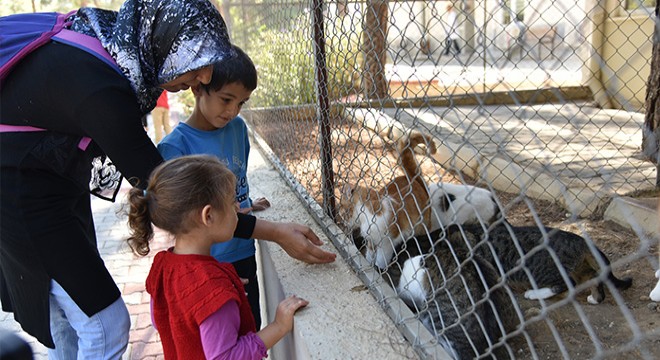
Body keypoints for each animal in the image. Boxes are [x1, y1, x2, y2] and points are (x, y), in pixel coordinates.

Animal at [340, 131, 438, 268]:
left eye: (342, 209)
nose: (341, 220)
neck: (365, 216)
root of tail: (413, 180)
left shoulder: (386, 243)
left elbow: (381, 259)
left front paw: (379, 269)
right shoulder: (371, 241)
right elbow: (370, 255)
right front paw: (369, 264)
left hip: (422, 225)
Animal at [452, 222, 632, 304]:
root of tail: (579, 239)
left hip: (541, 270)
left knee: (568, 284)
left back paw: (534, 293)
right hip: (579, 267)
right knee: (592, 277)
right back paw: (596, 298)